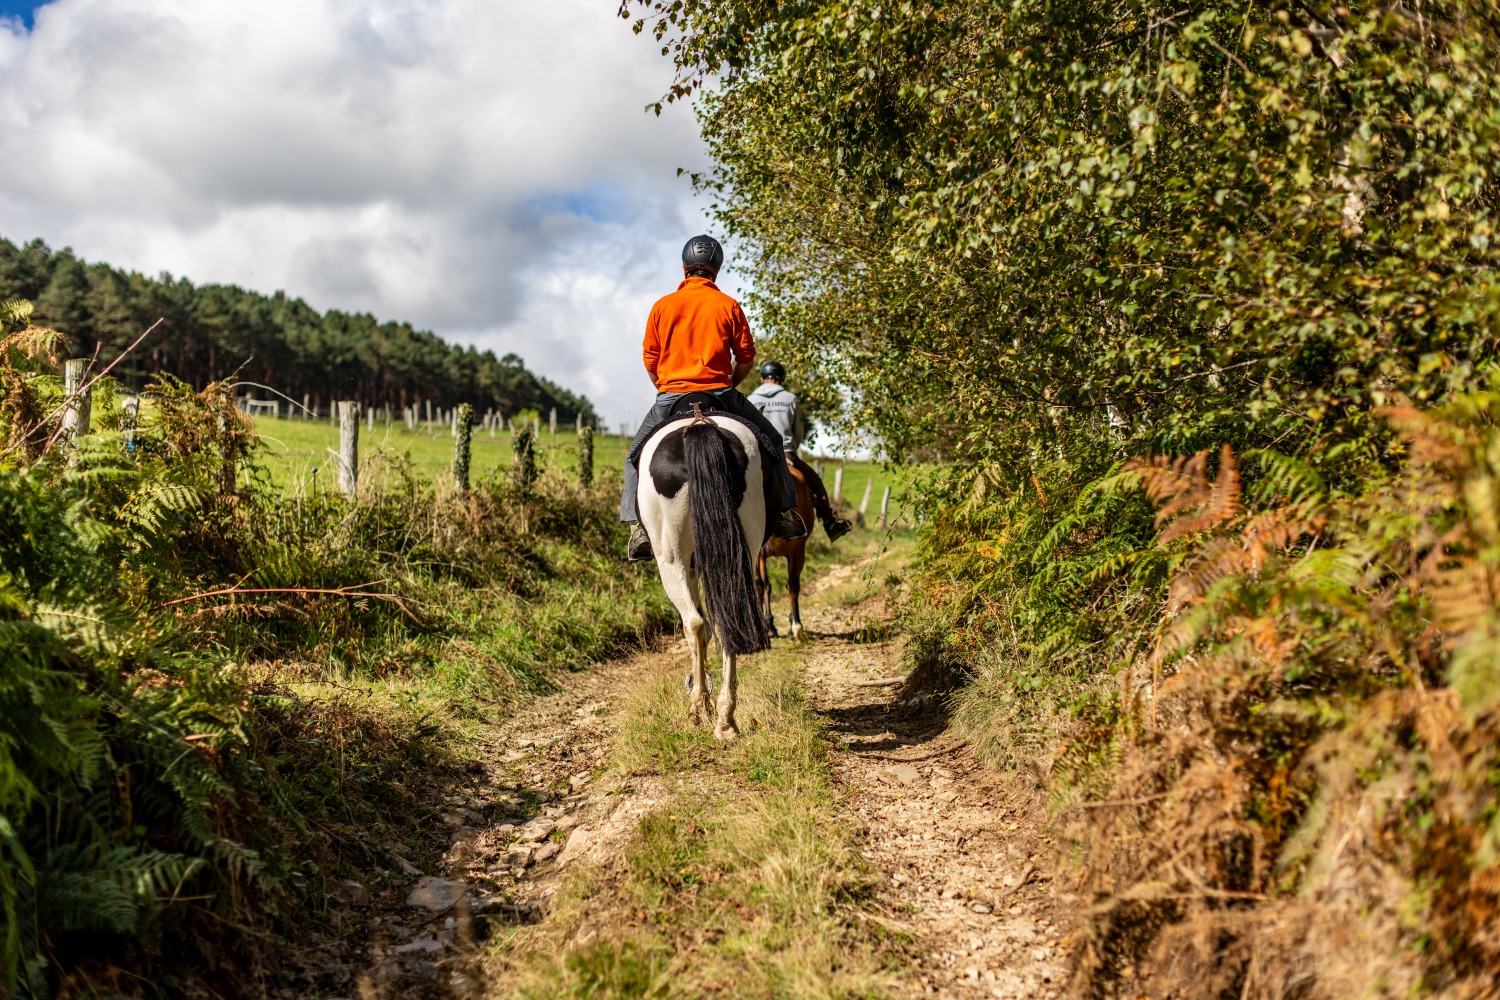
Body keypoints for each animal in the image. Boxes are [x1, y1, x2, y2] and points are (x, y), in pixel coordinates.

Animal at [636, 401, 774, 740]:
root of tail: (699, 423)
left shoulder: (687, 566)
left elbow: (700, 628)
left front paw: (701, 701)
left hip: (670, 561)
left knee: (695, 623)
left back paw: (699, 708)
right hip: (741, 553)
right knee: (727, 625)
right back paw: (726, 719)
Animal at [756, 461, 816, 641]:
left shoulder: (797, 551)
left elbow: (792, 584)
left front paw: (796, 625)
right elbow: (761, 585)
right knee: (765, 585)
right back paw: (769, 626)